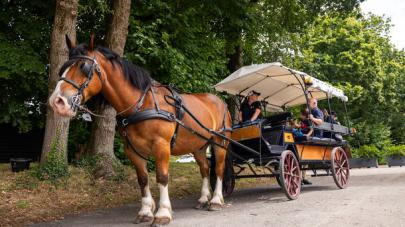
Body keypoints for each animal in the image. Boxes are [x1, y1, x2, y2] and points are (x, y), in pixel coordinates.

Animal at [48, 35, 230, 225]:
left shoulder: (161, 145)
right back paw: (203, 199)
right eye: (63, 68)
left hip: (220, 142)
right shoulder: (132, 149)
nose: (57, 101)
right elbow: (142, 179)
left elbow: (162, 177)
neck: (141, 104)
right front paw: (145, 211)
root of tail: (219, 101)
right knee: (205, 168)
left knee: (219, 169)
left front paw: (162, 213)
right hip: (199, 146)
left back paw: (216, 200)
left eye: (83, 67)